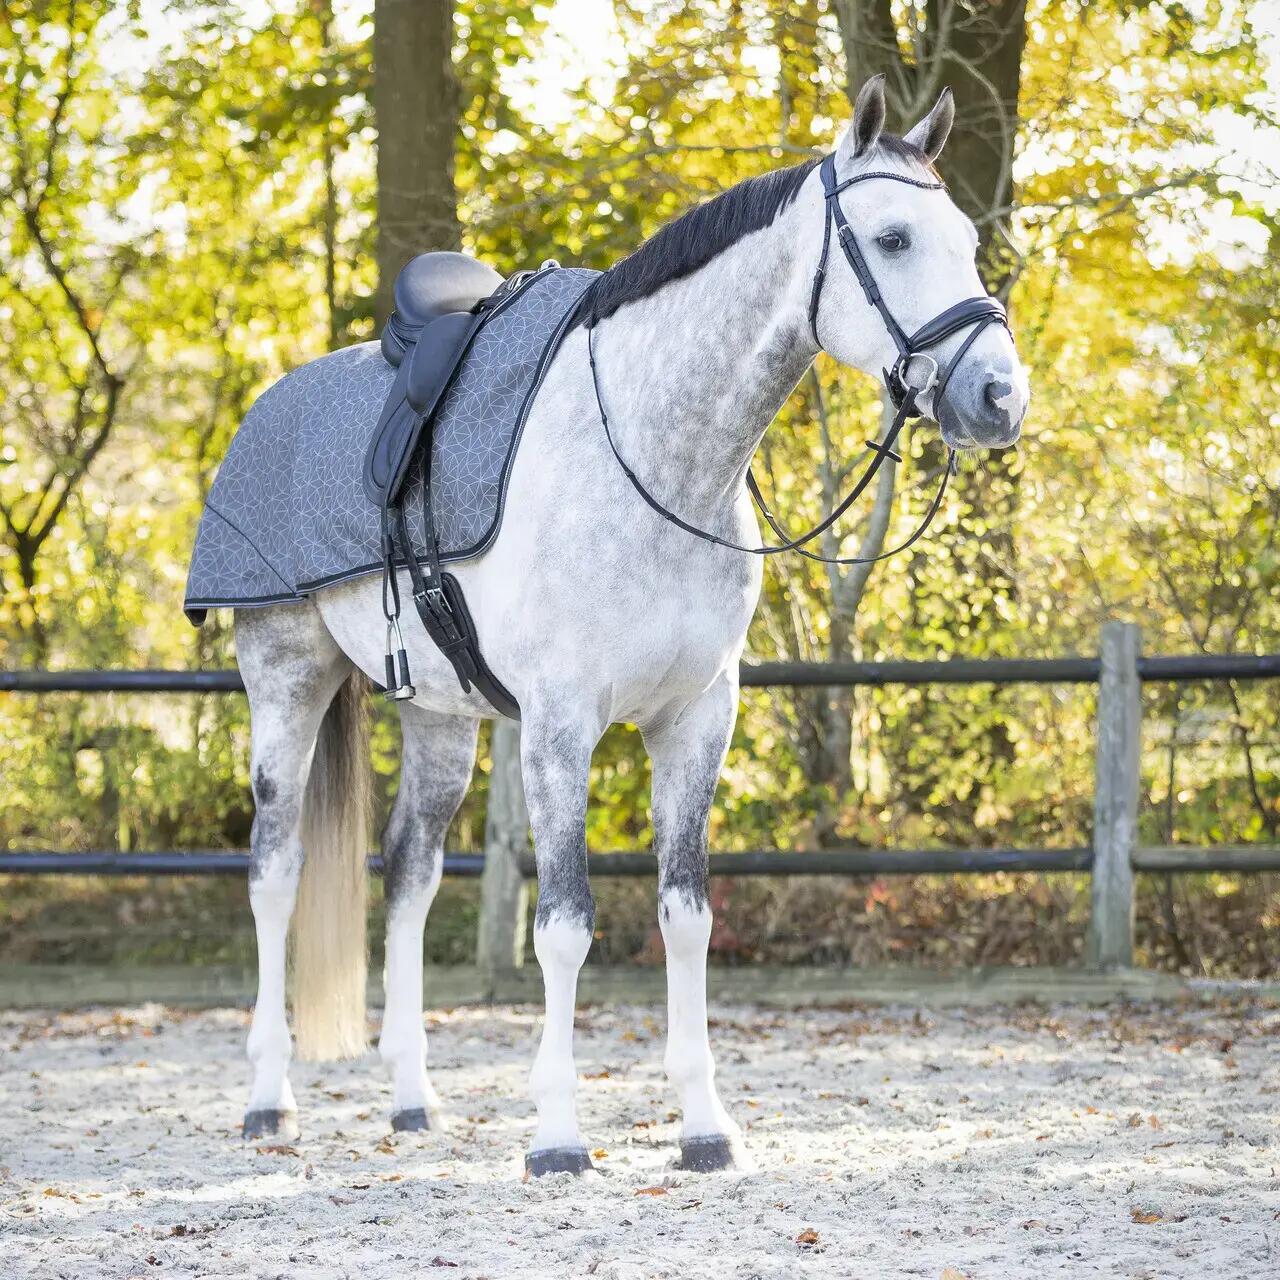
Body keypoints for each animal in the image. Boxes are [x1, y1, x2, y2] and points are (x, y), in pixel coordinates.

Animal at [225, 76, 1029, 1176]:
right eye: (894, 237)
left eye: (966, 238)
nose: (998, 396)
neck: (652, 455)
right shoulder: (561, 724)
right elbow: (564, 925)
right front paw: (557, 1137)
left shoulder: (697, 719)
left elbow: (685, 916)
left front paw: (704, 1125)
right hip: (285, 679)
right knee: (274, 872)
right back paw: (269, 1101)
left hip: (439, 719)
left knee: (410, 874)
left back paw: (413, 1101)